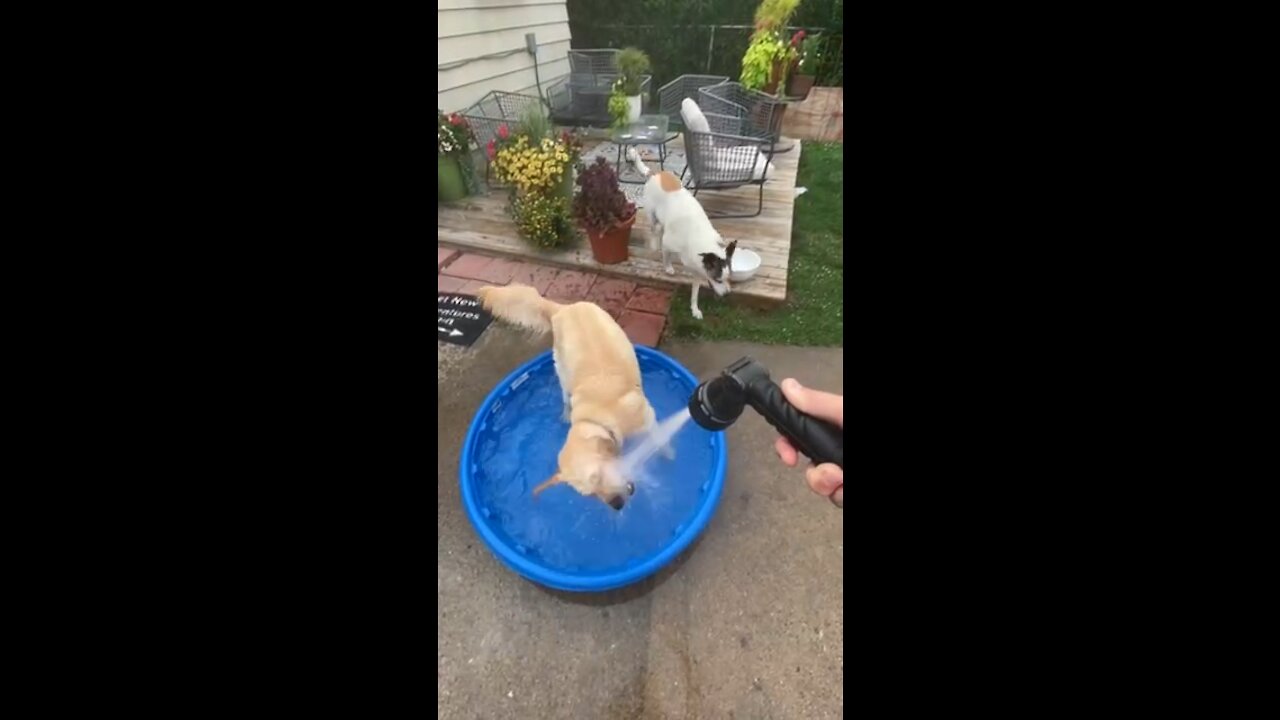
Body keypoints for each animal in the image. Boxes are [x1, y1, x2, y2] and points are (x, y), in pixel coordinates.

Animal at [471, 283, 670, 507]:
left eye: (600, 476)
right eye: (591, 494)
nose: (617, 504)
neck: (599, 418)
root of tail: (563, 309)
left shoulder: (647, 416)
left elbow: (659, 439)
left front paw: (668, 455)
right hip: (563, 370)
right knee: (566, 397)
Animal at [624, 147, 737, 317]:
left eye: (729, 278)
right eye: (718, 280)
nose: (727, 295)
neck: (698, 238)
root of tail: (654, 174)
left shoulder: (698, 270)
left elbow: (695, 293)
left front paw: (695, 309)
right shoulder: (668, 244)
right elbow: (666, 256)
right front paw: (668, 267)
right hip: (652, 214)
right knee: (653, 229)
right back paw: (654, 243)